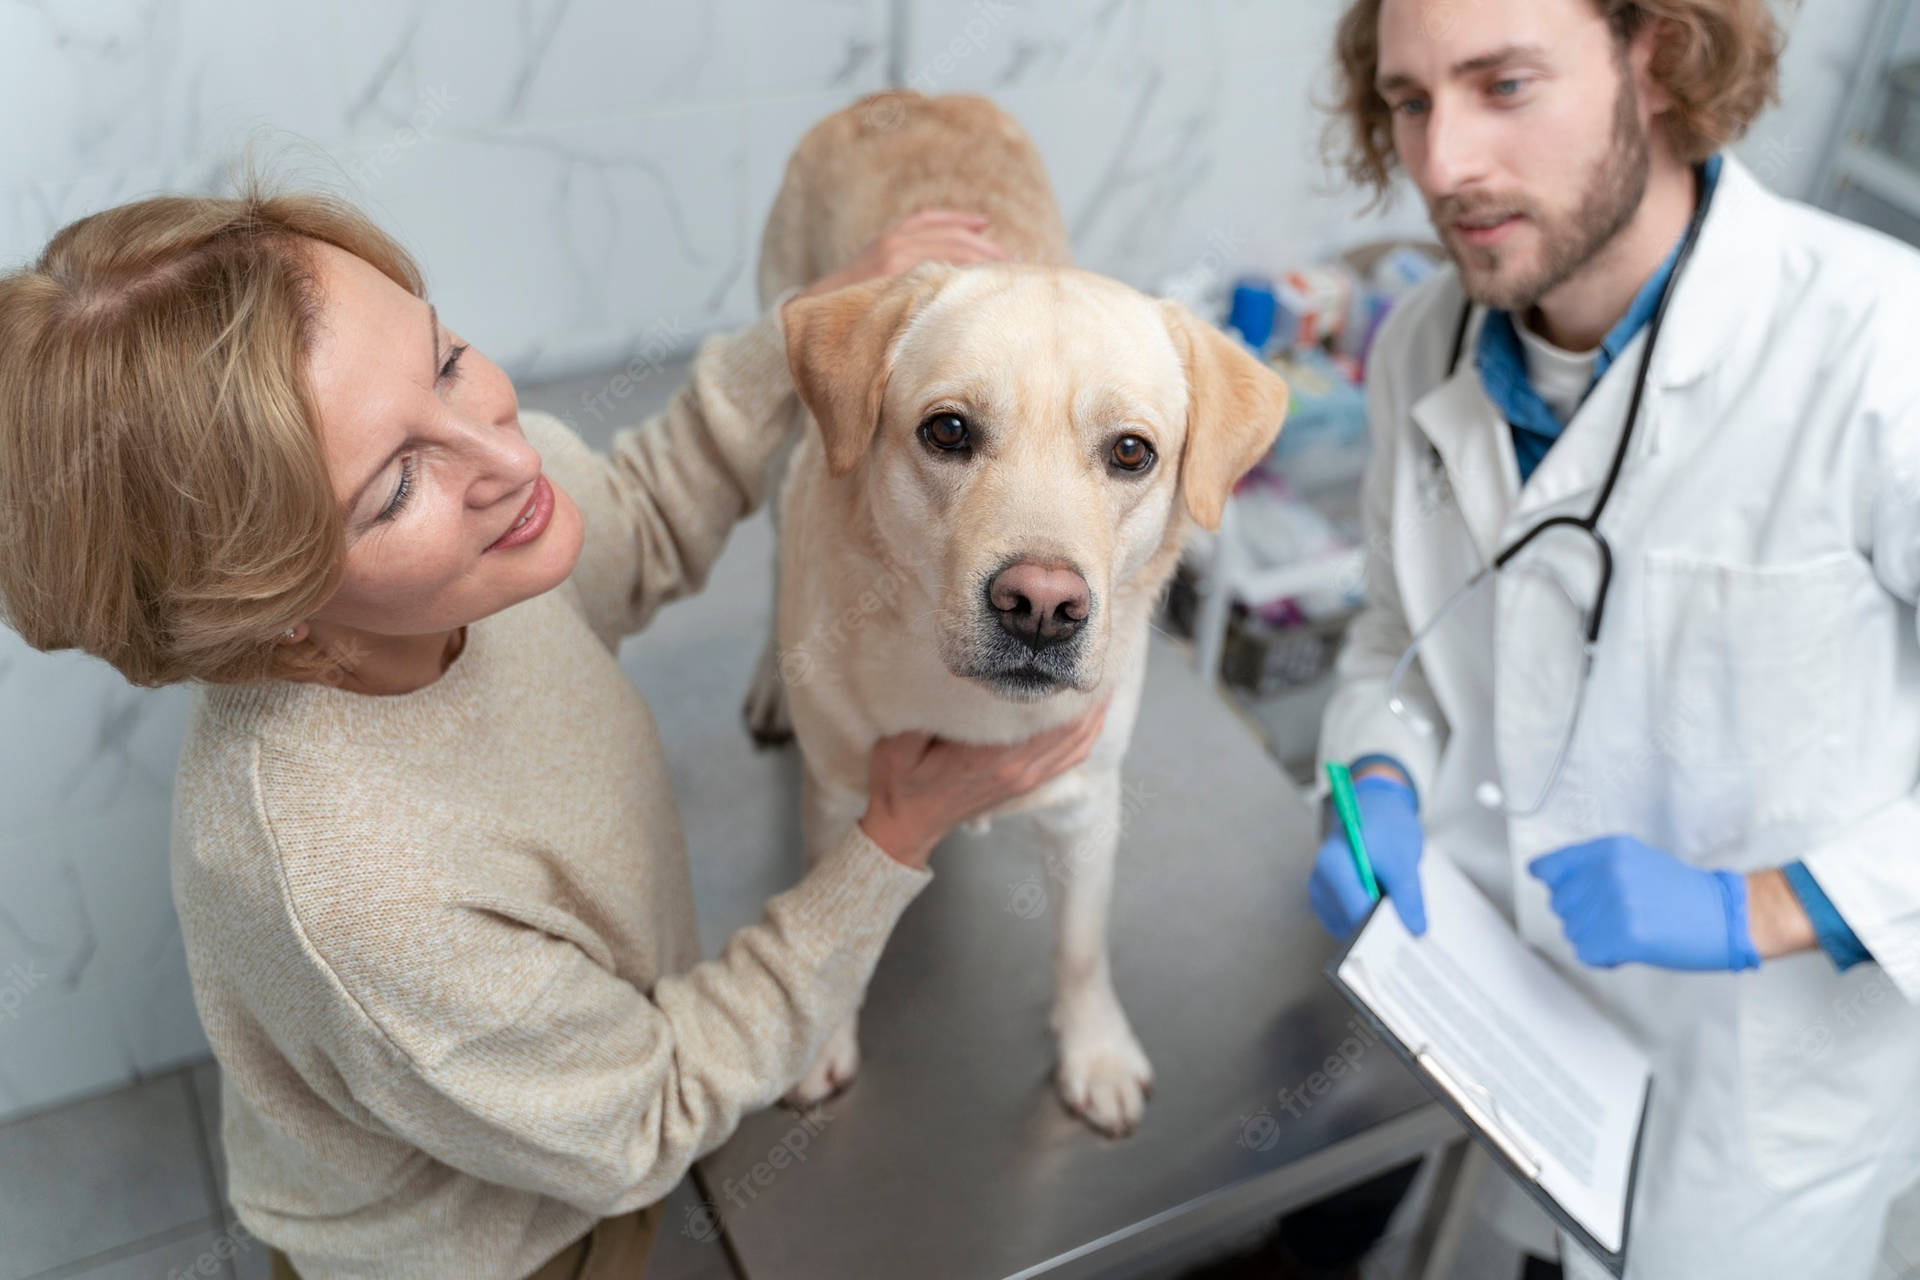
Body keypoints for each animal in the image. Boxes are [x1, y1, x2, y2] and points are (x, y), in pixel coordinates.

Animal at [748, 92, 1290, 1143]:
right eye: (948, 430)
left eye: (1132, 452)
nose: (1041, 606)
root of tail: (903, 96)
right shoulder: (835, 797)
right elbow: (829, 937)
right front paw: (822, 1040)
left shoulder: (1087, 806)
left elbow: (1081, 947)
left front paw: (1094, 1051)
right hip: (783, 429)